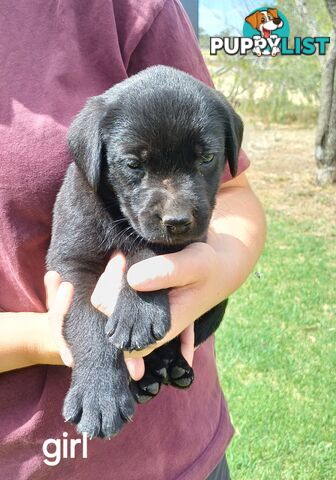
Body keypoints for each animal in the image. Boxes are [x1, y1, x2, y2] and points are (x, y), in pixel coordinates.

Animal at [46, 65, 242, 440]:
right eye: (134, 164)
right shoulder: (71, 263)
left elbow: (147, 251)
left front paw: (138, 311)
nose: (178, 220)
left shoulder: (190, 239)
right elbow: (87, 320)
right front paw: (98, 395)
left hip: (217, 303)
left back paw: (173, 366)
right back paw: (147, 379)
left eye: (207, 158)